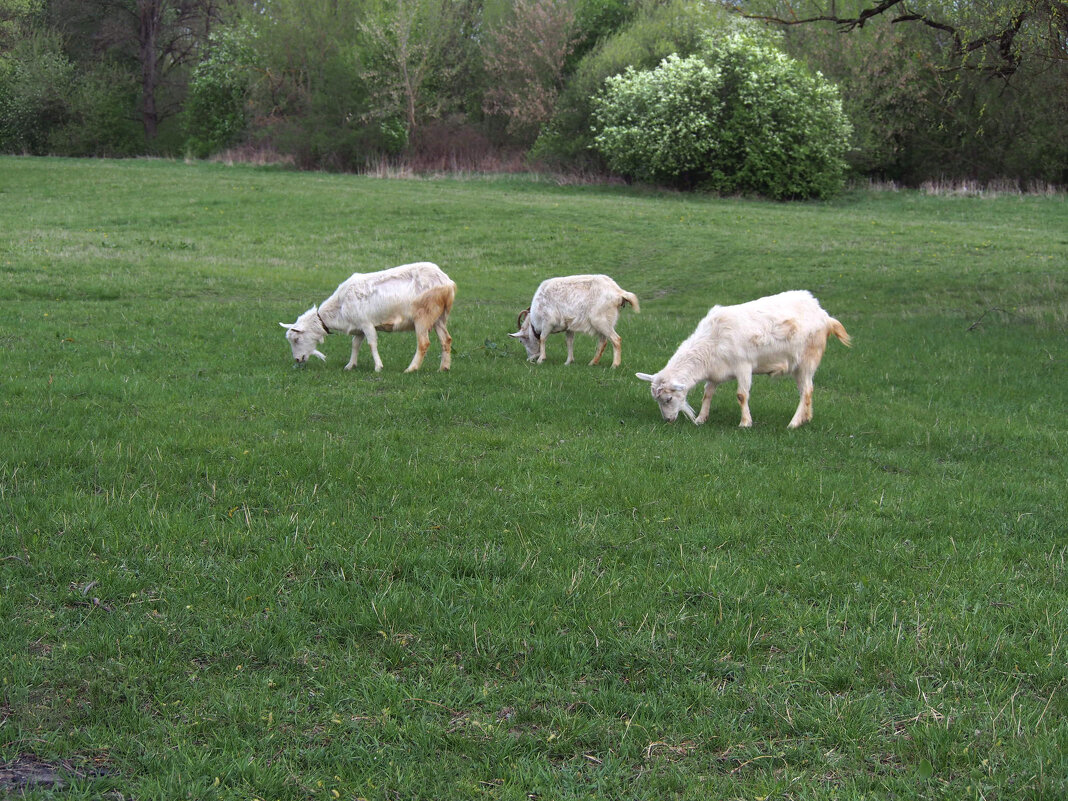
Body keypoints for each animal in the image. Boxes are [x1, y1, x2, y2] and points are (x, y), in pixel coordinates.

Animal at [279, 263, 454, 375]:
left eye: (296, 339)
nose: (297, 359)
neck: (339, 307)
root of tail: (447, 282)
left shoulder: (366, 323)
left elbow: (371, 344)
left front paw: (378, 367)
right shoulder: (358, 328)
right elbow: (355, 344)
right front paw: (350, 366)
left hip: (423, 316)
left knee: (423, 343)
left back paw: (411, 369)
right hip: (439, 317)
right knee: (446, 340)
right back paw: (443, 368)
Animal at [510, 273, 640, 367]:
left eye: (521, 341)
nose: (530, 358)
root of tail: (619, 292)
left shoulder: (548, 322)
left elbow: (542, 338)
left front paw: (541, 359)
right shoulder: (569, 327)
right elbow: (569, 342)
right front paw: (568, 362)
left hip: (600, 321)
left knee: (616, 339)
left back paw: (614, 365)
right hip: (604, 323)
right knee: (603, 342)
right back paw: (592, 363)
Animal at [632, 292, 850, 429]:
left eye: (668, 399)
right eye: (657, 399)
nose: (668, 420)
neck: (712, 341)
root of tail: (824, 315)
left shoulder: (744, 366)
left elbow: (741, 395)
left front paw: (745, 423)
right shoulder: (715, 372)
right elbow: (707, 394)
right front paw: (701, 419)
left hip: (807, 360)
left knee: (806, 391)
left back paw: (794, 423)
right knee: (806, 391)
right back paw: (806, 418)